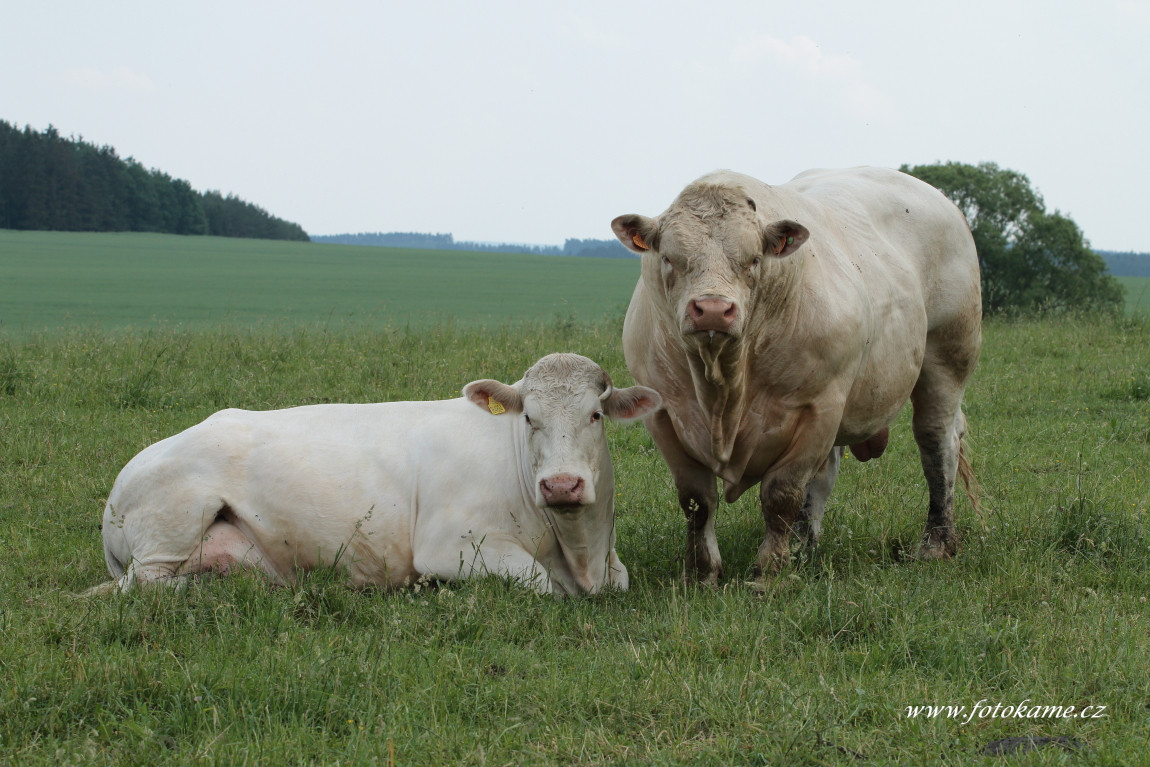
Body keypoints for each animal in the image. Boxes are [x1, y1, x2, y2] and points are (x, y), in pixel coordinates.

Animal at [92, 351, 657, 597]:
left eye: (596, 415)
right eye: (529, 419)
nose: (561, 484)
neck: (580, 553)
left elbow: (622, 579)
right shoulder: (450, 545)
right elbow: (541, 584)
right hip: (167, 535)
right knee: (145, 588)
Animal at [611, 167, 979, 588]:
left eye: (754, 260)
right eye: (670, 258)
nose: (713, 310)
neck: (722, 386)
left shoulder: (820, 407)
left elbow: (782, 495)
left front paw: (770, 572)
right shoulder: (664, 415)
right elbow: (697, 500)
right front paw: (702, 574)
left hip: (947, 356)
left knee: (937, 445)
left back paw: (937, 542)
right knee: (825, 475)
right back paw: (804, 548)